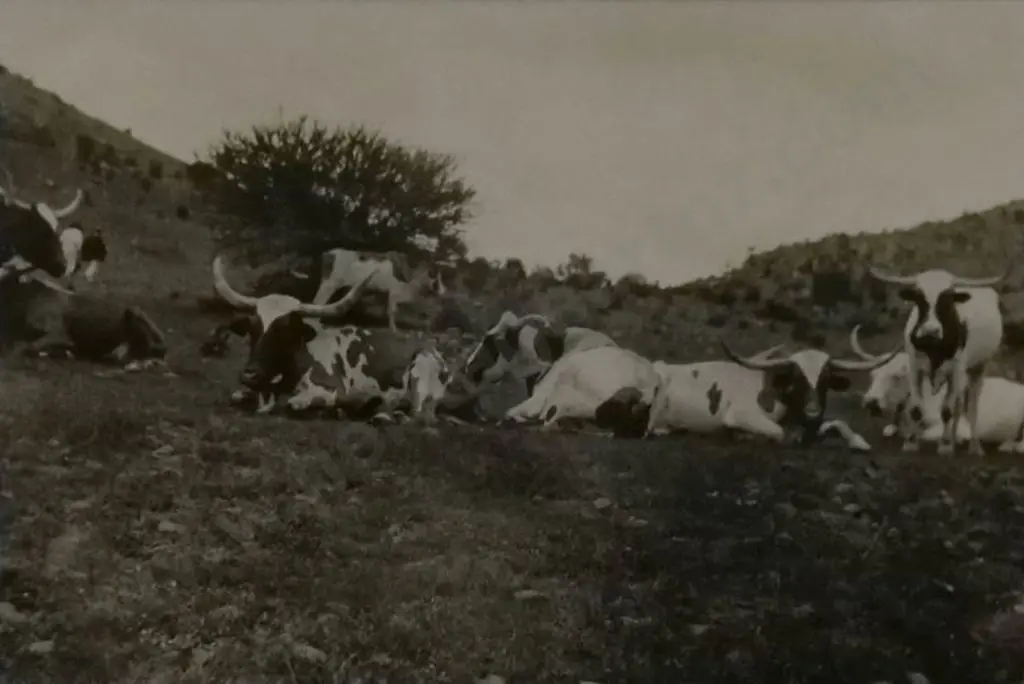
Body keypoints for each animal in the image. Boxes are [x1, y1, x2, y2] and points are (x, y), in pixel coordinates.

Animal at [308, 248, 446, 332]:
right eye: (435, 278)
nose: (444, 291)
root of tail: (328, 254)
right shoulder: (394, 296)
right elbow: (392, 312)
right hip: (329, 285)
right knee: (318, 303)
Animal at [868, 266, 1005, 456]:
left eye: (947, 300)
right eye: (919, 298)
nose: (930, 331)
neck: (933, 348)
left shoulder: (955, 371)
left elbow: (946, 410)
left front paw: (945, 446)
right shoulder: (914, 369)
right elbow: (916, 408)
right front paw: (911, 443)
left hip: (979, 367)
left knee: (971, 406)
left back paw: (973, 446)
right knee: (959, 405)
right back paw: (955, 439)